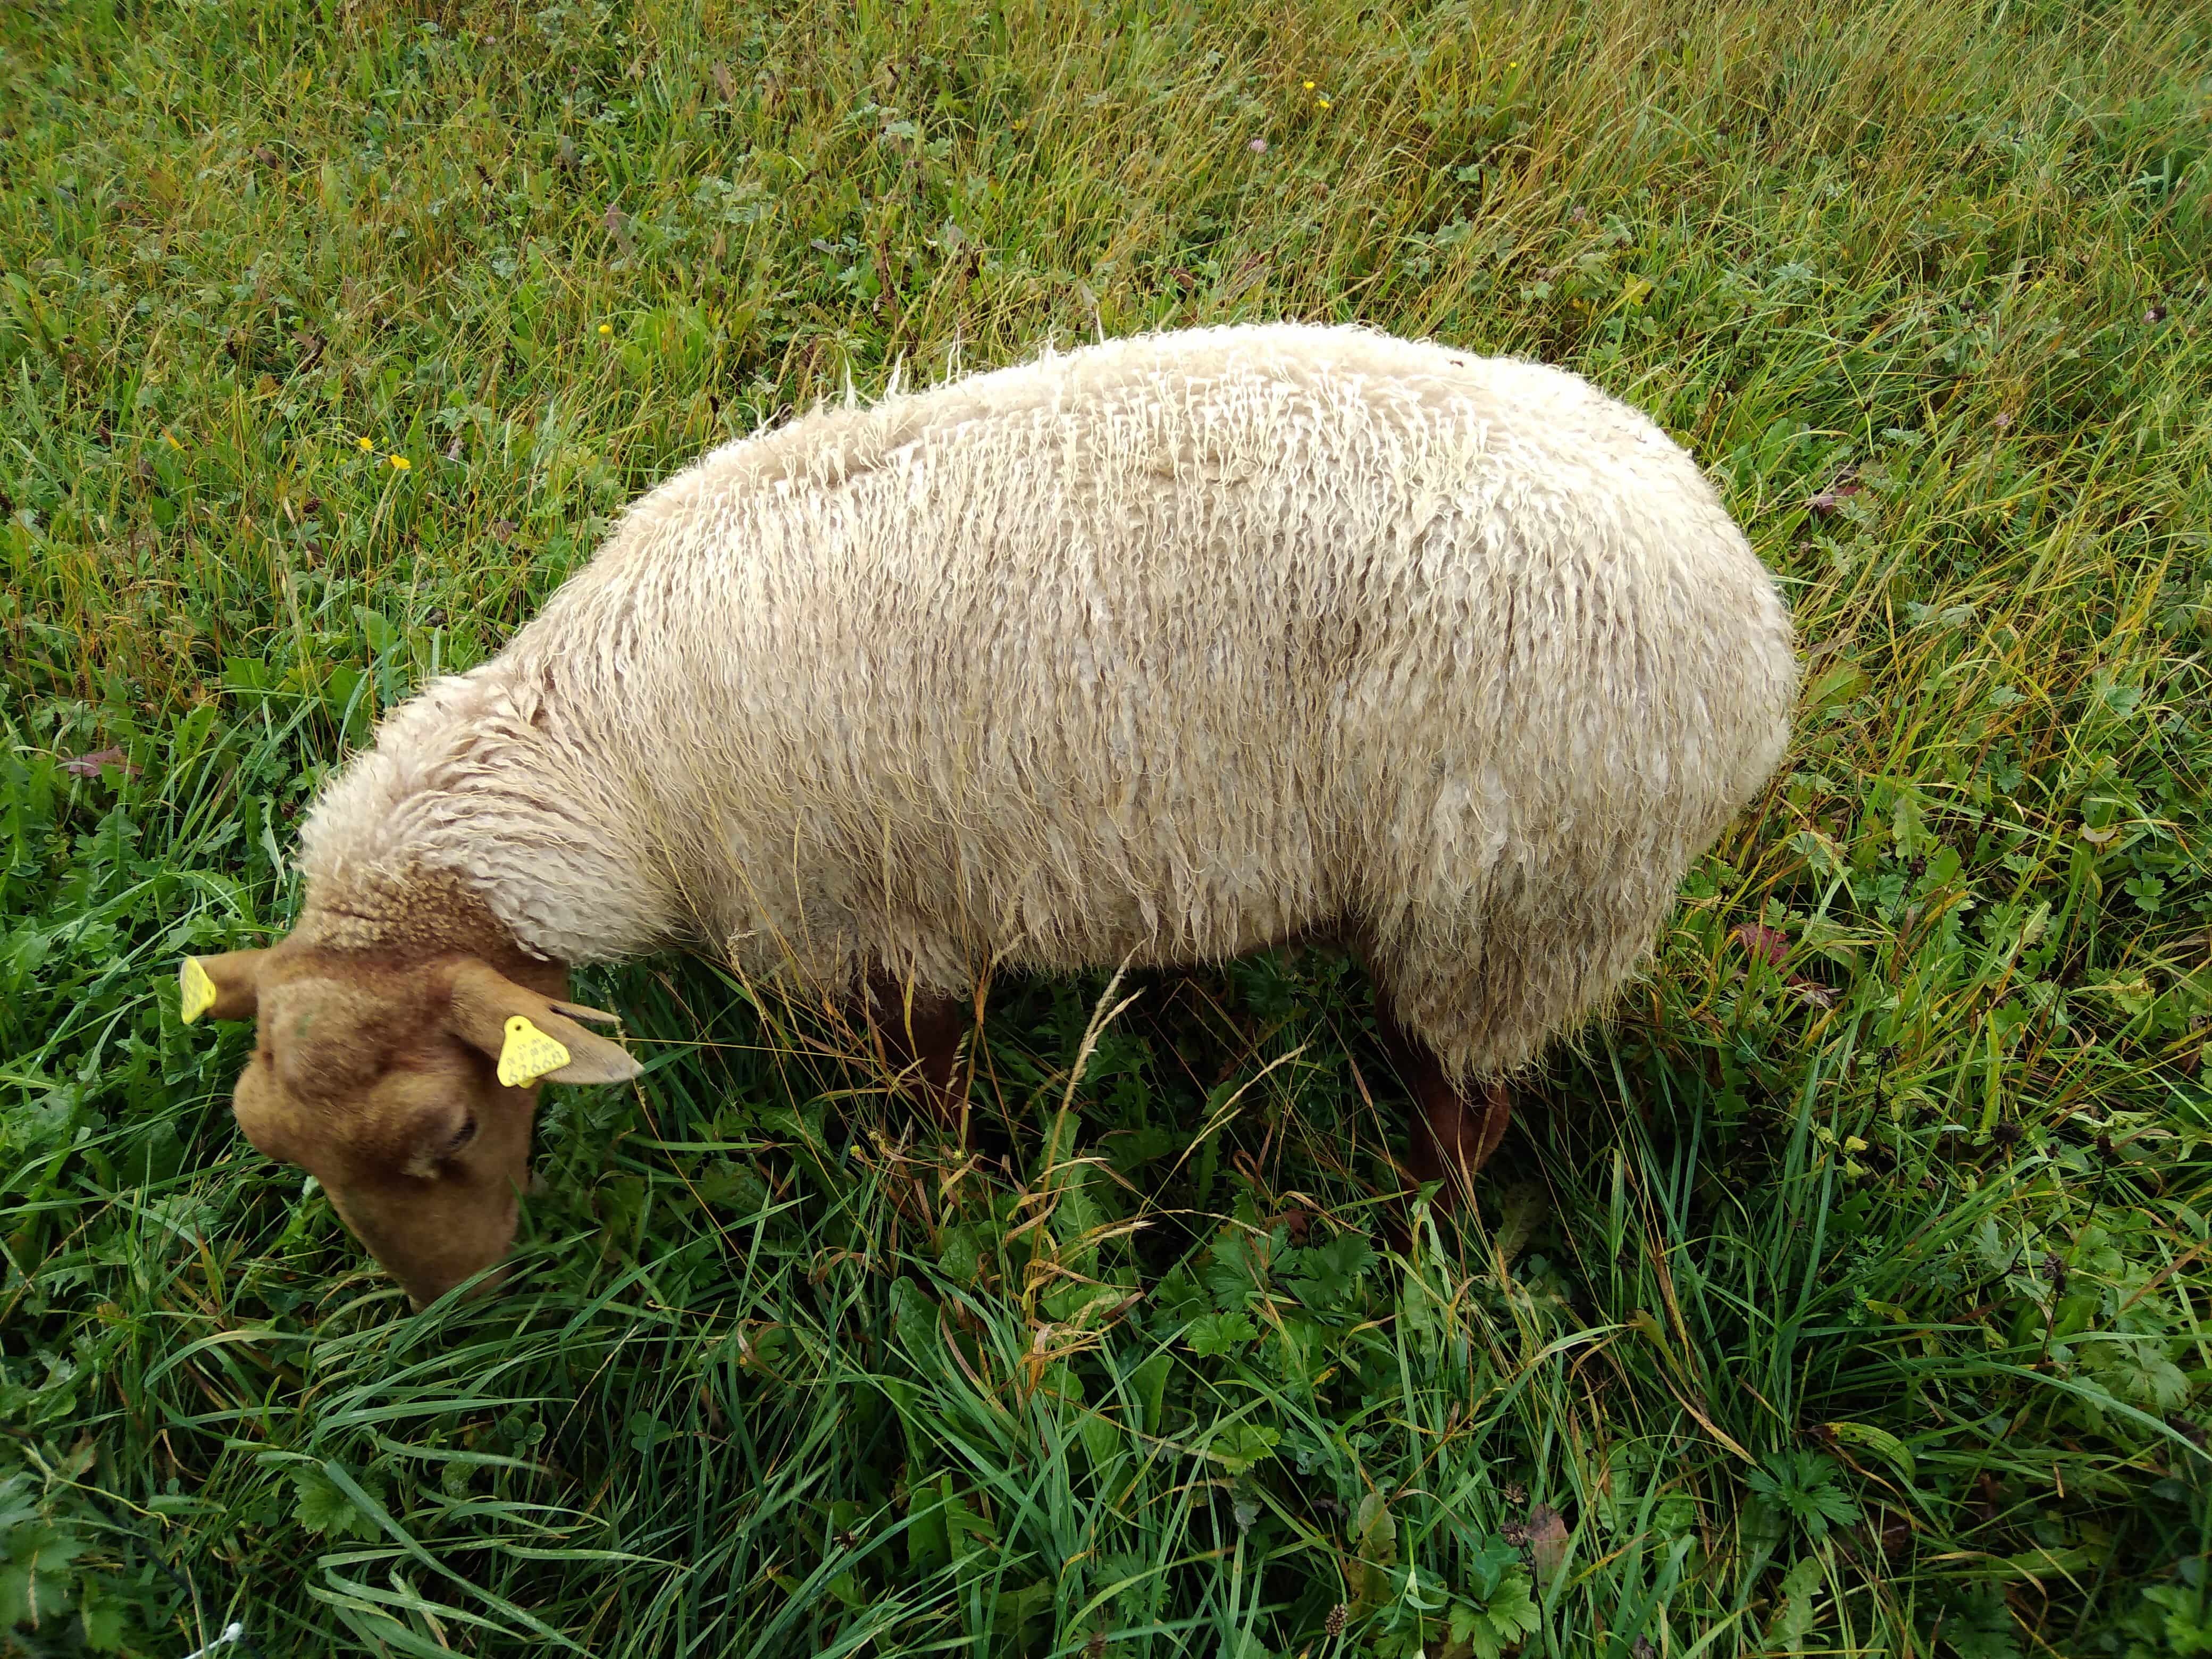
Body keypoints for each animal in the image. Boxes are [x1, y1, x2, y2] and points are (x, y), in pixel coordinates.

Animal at [179, 321, 1797, 1308]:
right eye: (277, 1144)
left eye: (455, 1126)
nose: (454, 1304)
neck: (613, 766)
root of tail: (1757, 633)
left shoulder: (872, 928)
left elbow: (932, 1117)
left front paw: (943, 1227)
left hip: (1516, 901)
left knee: (1469, 1109)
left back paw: (1409, 1253)